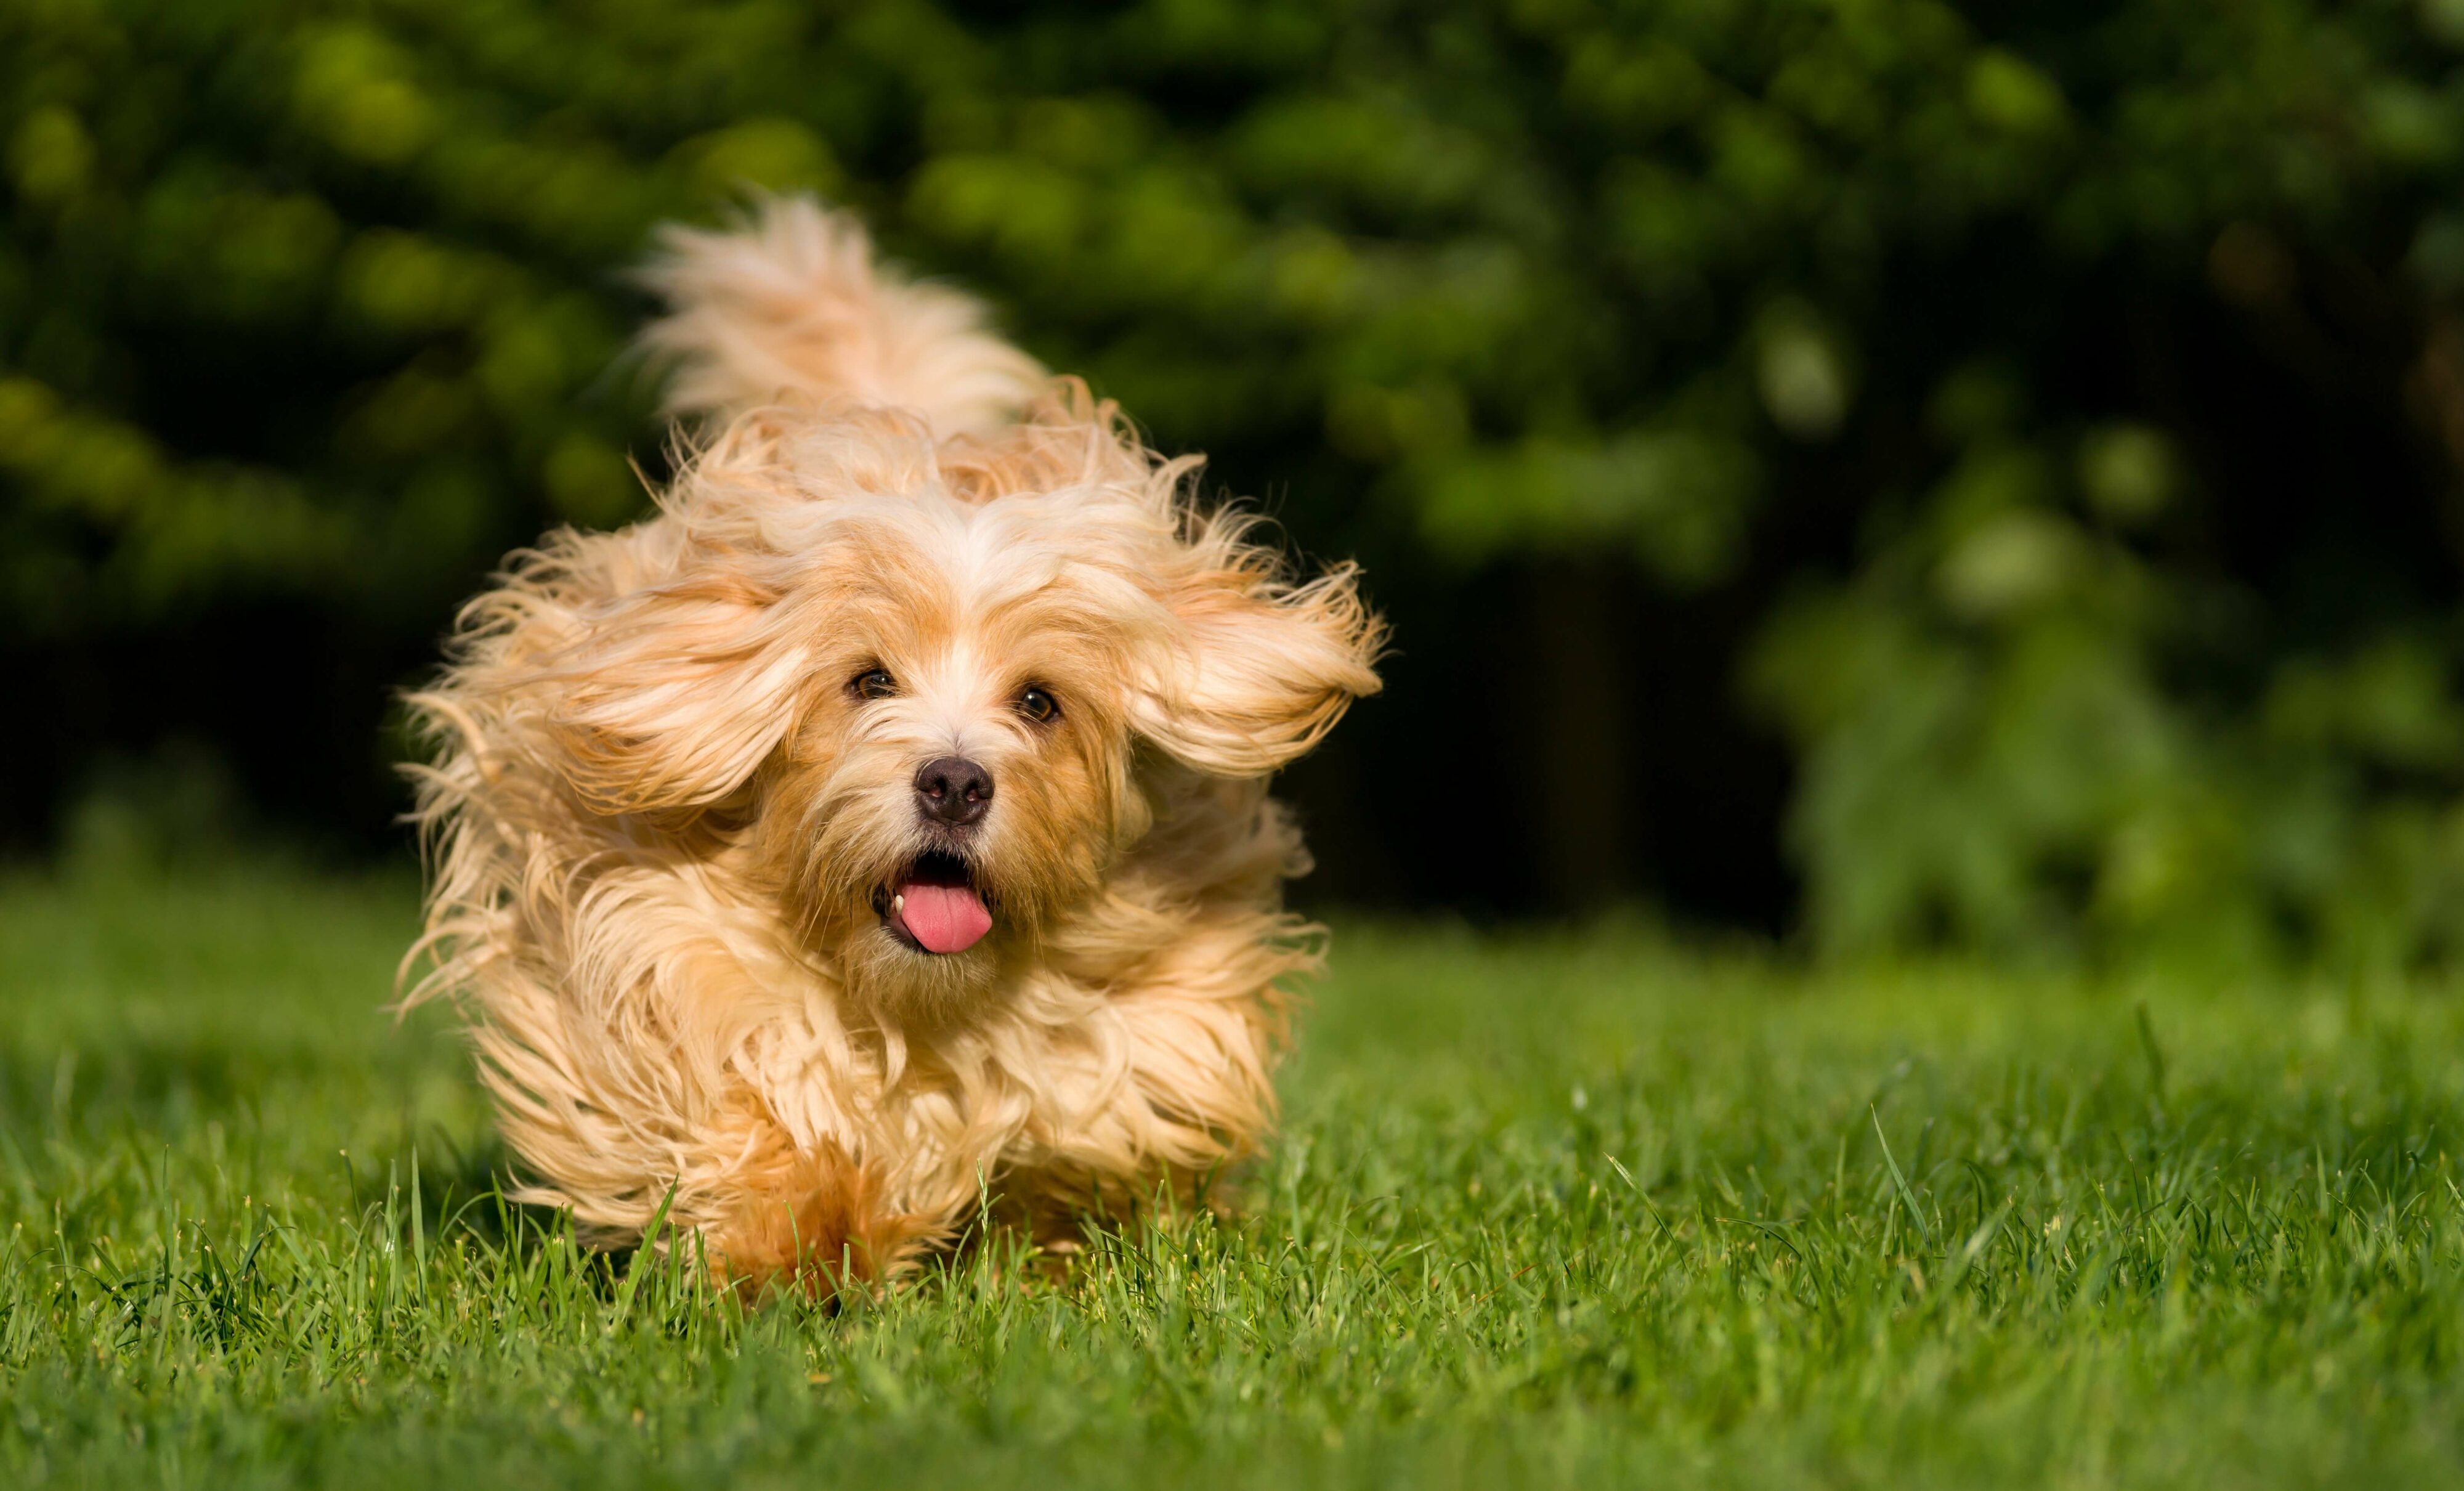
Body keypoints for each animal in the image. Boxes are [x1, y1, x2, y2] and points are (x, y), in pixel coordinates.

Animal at [414, 197, 1400, 1291]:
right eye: (868, 681)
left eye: (1041, 702)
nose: (956, 784)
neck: (922, 1006)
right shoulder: (658, 945)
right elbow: (746, 1092)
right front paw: (795, 1241)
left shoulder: (1160, 1012)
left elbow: (1089, 1121)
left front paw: (1044, 1237)